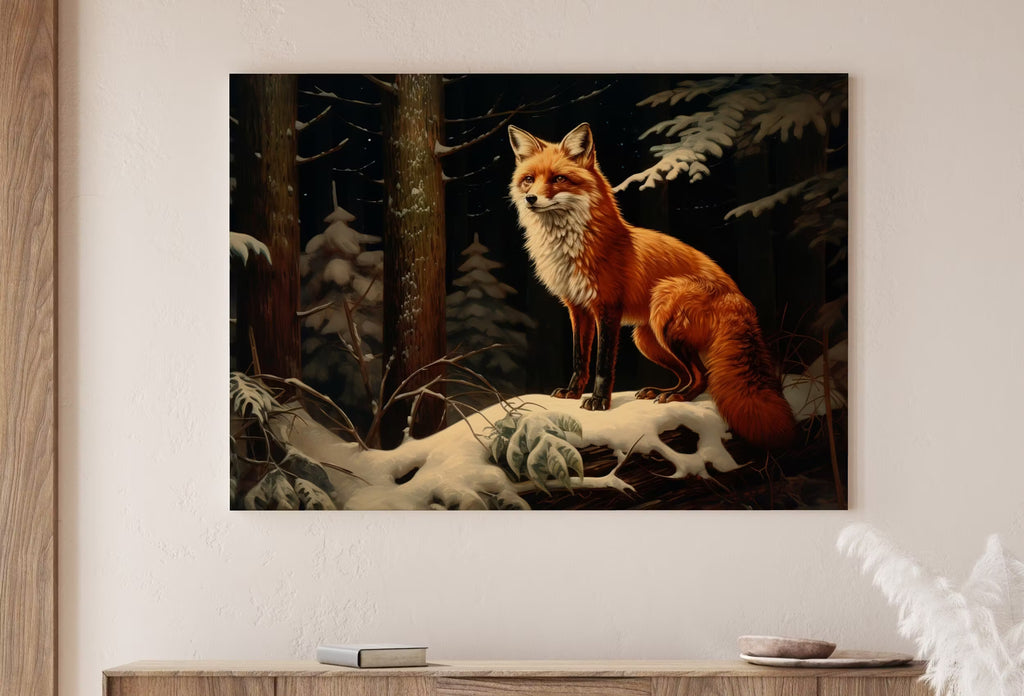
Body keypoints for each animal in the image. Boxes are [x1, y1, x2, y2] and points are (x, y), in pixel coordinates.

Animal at [508, 122, 797, 449]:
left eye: (558, 178)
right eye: (528, 180)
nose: (531, 198)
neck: (570, 248)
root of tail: (738, 298)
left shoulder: (607, 307)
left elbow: (602, 365)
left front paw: (598, 402)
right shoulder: (578, 308)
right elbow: (580, 359)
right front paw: (572, 393)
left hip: (663, 314)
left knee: (702, 377)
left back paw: (676, 397)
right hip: (647, 340)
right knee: (690, 374)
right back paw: (660, 392)